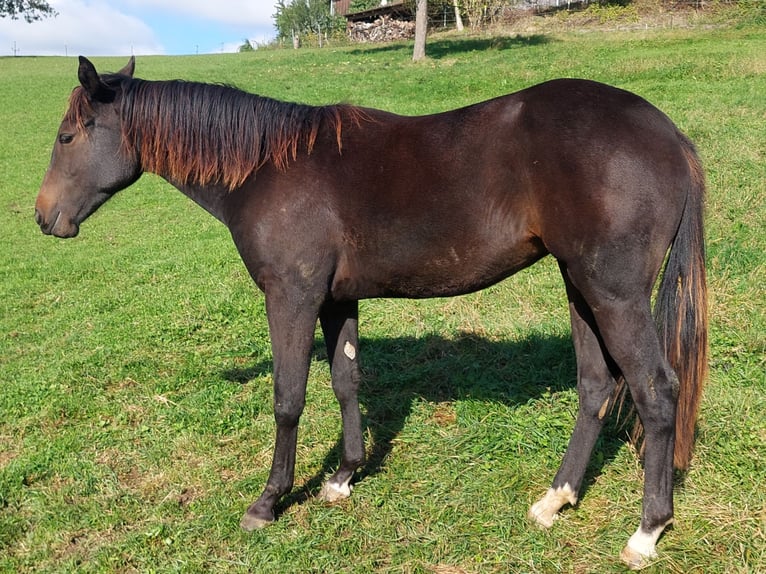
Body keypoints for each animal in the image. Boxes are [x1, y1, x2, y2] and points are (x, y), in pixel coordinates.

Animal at [34, 56, 708, 568]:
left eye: (67, 137)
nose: (44, 217)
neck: (268, 166)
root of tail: (669, 135)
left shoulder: (292, 297)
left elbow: (289, 397)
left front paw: (269, 501)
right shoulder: (336, 299)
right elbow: (346, 380)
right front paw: (343, 477)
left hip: (613, 293)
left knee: (655, 391)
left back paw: (647, 530)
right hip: (579, 285)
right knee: (596, 386)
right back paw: (556, 499)